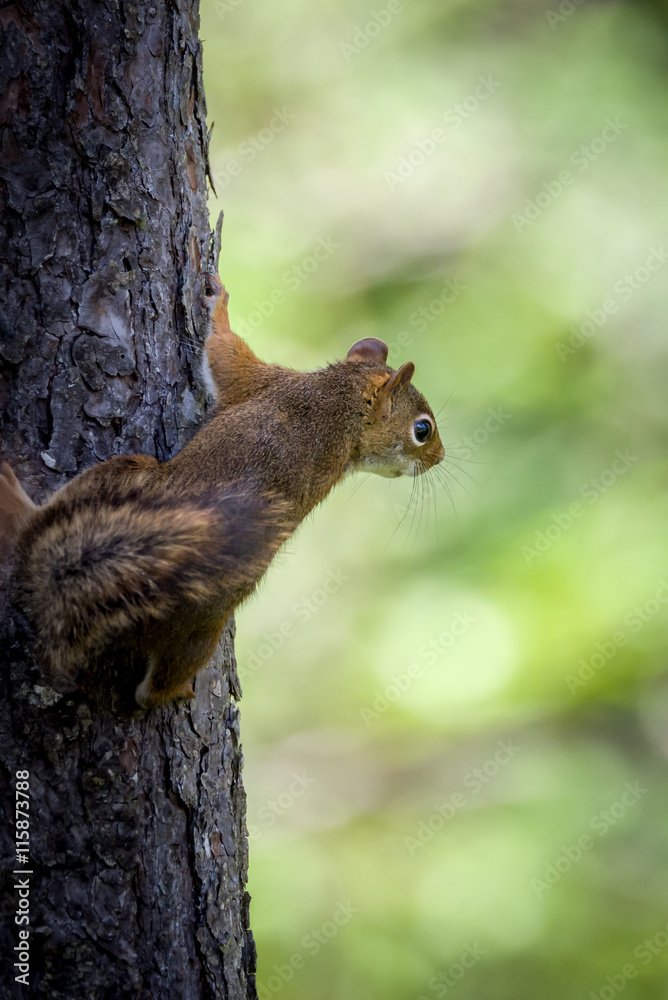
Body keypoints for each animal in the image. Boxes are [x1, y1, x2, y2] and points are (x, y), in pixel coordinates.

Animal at [0, 274, 445, 709]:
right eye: (423, 430)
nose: (438, 458)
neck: (343, 404)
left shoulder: (260, 381)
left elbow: (223, 350)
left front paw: (219, 299)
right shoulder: (274, 383)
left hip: (134, 491)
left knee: (147, 690)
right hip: (199, 632)